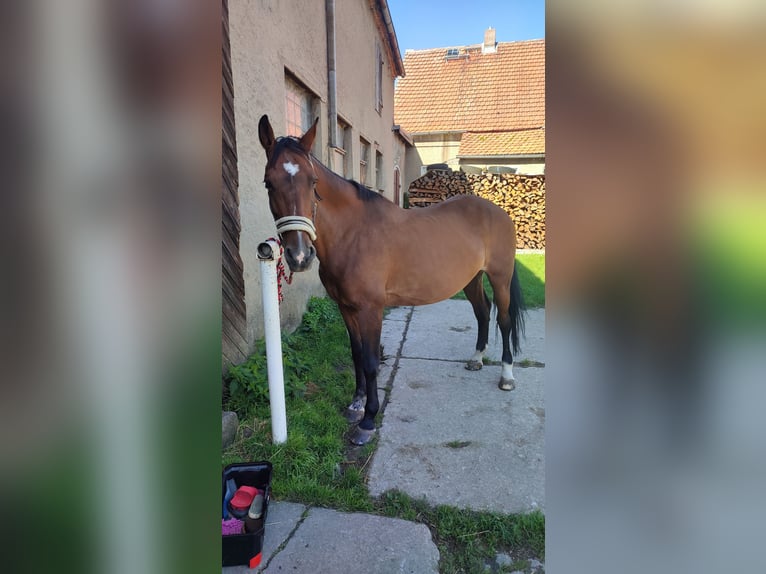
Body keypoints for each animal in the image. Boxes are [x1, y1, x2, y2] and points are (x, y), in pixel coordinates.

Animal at [258, 114, 525, 445]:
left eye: (313, 182)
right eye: (269, 182)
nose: (299, 255)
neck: (354, 233)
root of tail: (498, 213)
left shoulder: (372, 309)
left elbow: (372, 361)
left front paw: (368, 420)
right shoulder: (346, 308)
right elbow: (357, 354)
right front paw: (356, 404)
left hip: (500, 277)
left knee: (504, 319)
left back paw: (507, 376)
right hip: (472, 279)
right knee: (482, 312)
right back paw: (476, 358)